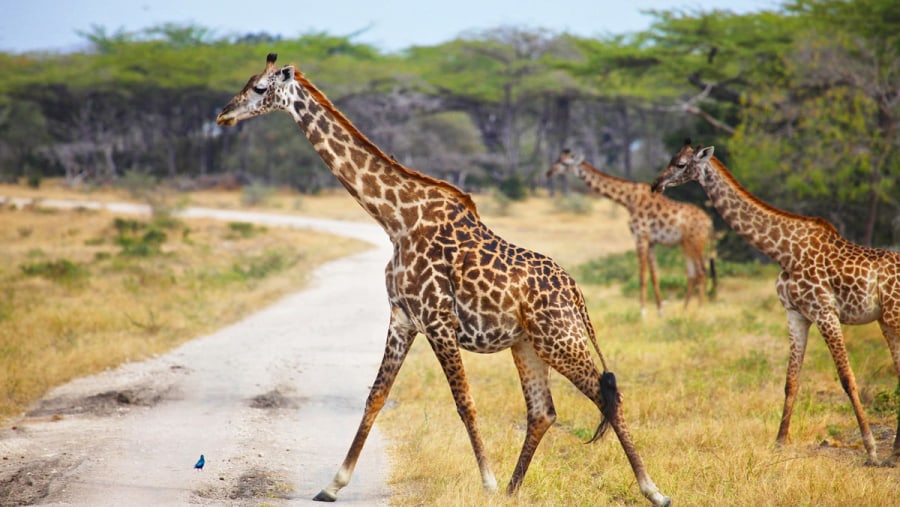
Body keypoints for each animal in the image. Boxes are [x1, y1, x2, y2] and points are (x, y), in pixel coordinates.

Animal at [214, 53, 672, 506]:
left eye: (259, 88)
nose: (223, 115)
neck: (396, 220)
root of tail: (577, 293)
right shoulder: (403, 318)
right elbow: (376, 395)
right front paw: (332, 484)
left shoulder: (438, 320)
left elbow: (464, 402)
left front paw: (486, 483)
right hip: (528, 345)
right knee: (543, 411)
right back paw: (514, 490)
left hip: (559, 338)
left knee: (607, 396)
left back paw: (653, 490)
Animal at [548, 149, 716, 318]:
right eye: (558, 159)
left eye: (564, 163)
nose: (549, 172)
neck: (628, 199)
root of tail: (710, 223)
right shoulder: (651, 241)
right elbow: (654, 276)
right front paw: (660, 311)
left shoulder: (640, 236)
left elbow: (642, 275)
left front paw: (643, 312)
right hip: (686, 243)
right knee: (692, 274)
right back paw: (685, 308)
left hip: (695, 241)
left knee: (701, 271)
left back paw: (700, 307)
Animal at [652, 140, 900, 468]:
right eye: (670, 160)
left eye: (680, 164)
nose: (656, 184)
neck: (783, 251)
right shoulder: (795, 314)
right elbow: (791, 380)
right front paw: (779, 443)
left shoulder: (825, 312)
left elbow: (847, 378)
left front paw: (871, 450)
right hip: (887, 321)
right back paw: (895, 452)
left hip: (893, 317)